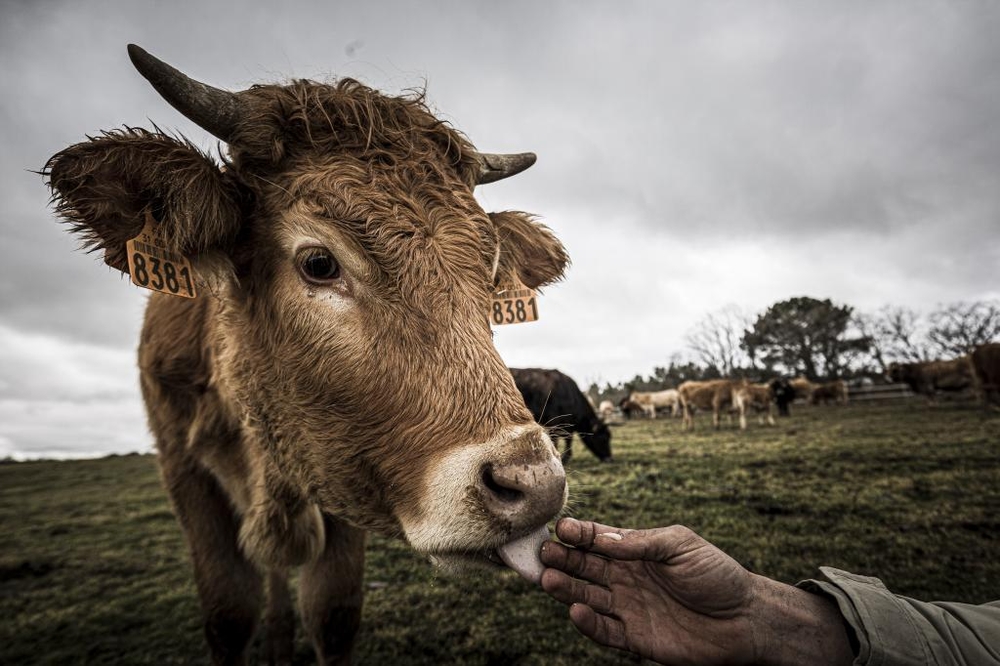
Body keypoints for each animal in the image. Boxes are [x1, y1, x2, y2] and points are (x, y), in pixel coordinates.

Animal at [43, 44, 572, 660]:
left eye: (490, 275)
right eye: (319, 263)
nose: (532, 486)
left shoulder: (346, 470)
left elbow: (332, 612)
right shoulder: (184, 472)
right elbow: (229, 611)